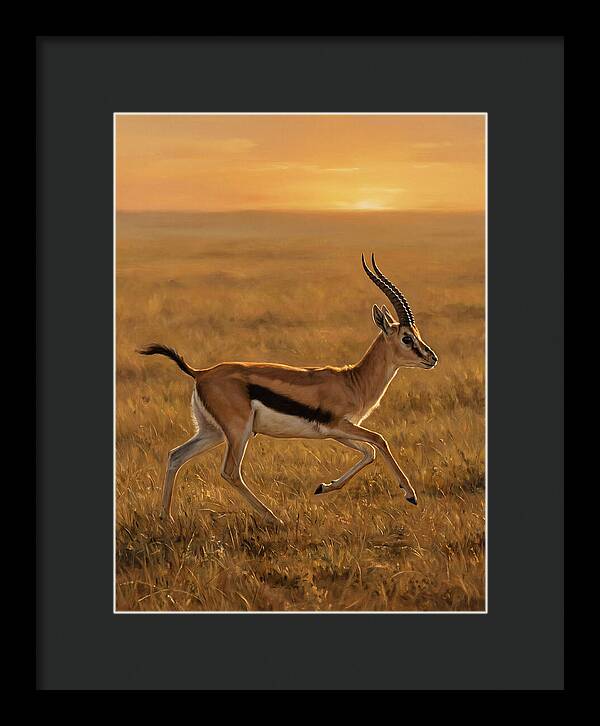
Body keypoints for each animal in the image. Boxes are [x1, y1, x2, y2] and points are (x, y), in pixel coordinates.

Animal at [138, 254, 438, 526]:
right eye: (406, 338)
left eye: (417, 334)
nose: (432, 358)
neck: (353, 381)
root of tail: (201, 372)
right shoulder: (339, 425)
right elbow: (379, 440)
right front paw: (410, 495)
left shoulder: (336, 432)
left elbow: (369, 453)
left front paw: (323, 487)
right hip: (238, 431)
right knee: (230, 472)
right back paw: (274, 518)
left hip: (212, 432)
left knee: (176, 456)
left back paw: (166, 517)